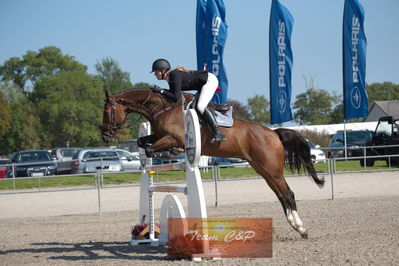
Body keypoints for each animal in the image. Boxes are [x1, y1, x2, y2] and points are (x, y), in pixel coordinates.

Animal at [99, 88, 324, 238]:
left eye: (108, 111)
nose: (105, 135)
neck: (162, 108)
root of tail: (273, 133)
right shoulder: (159, 135)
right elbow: (142, 143)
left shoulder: (174, 138)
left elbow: (150, 148)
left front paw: (170, 153)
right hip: (264, 170)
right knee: (281, 196)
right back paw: (296, 226)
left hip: (272, 170)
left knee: (288, 194)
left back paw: (301, 229)